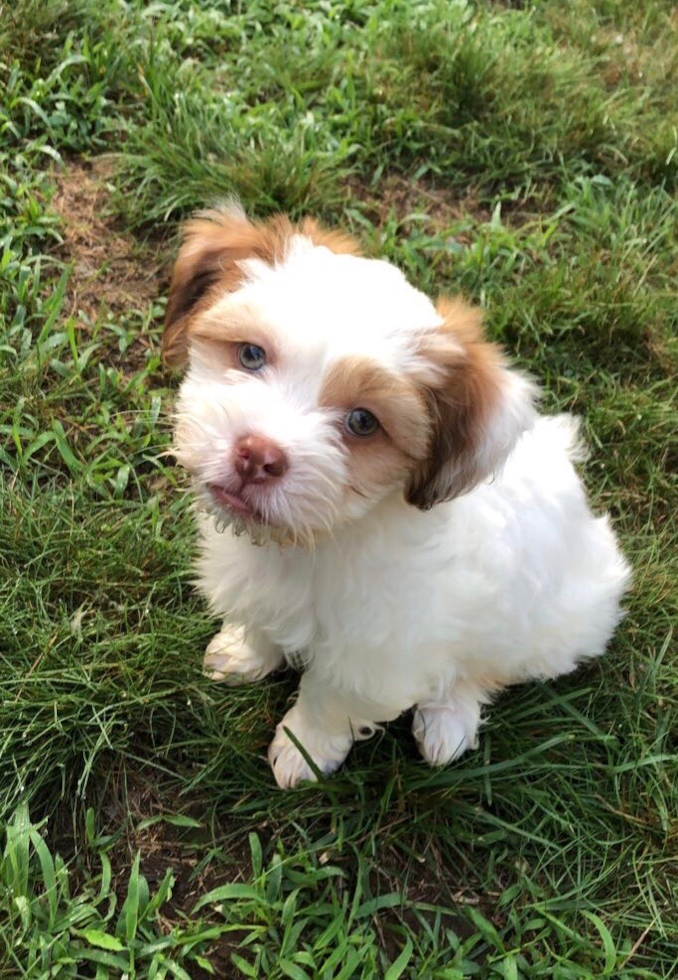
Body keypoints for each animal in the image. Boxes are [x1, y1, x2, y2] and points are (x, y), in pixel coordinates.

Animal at [165, 205, 632, 788]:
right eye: (251, 354)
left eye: (363, 422)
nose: (256, 455)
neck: (321, 537)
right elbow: (260, 620)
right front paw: (243, 651)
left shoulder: (378, 650)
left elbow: (330, 698)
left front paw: (302, 750)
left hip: (549, 624)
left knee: (487, 668)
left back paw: (448, 720)